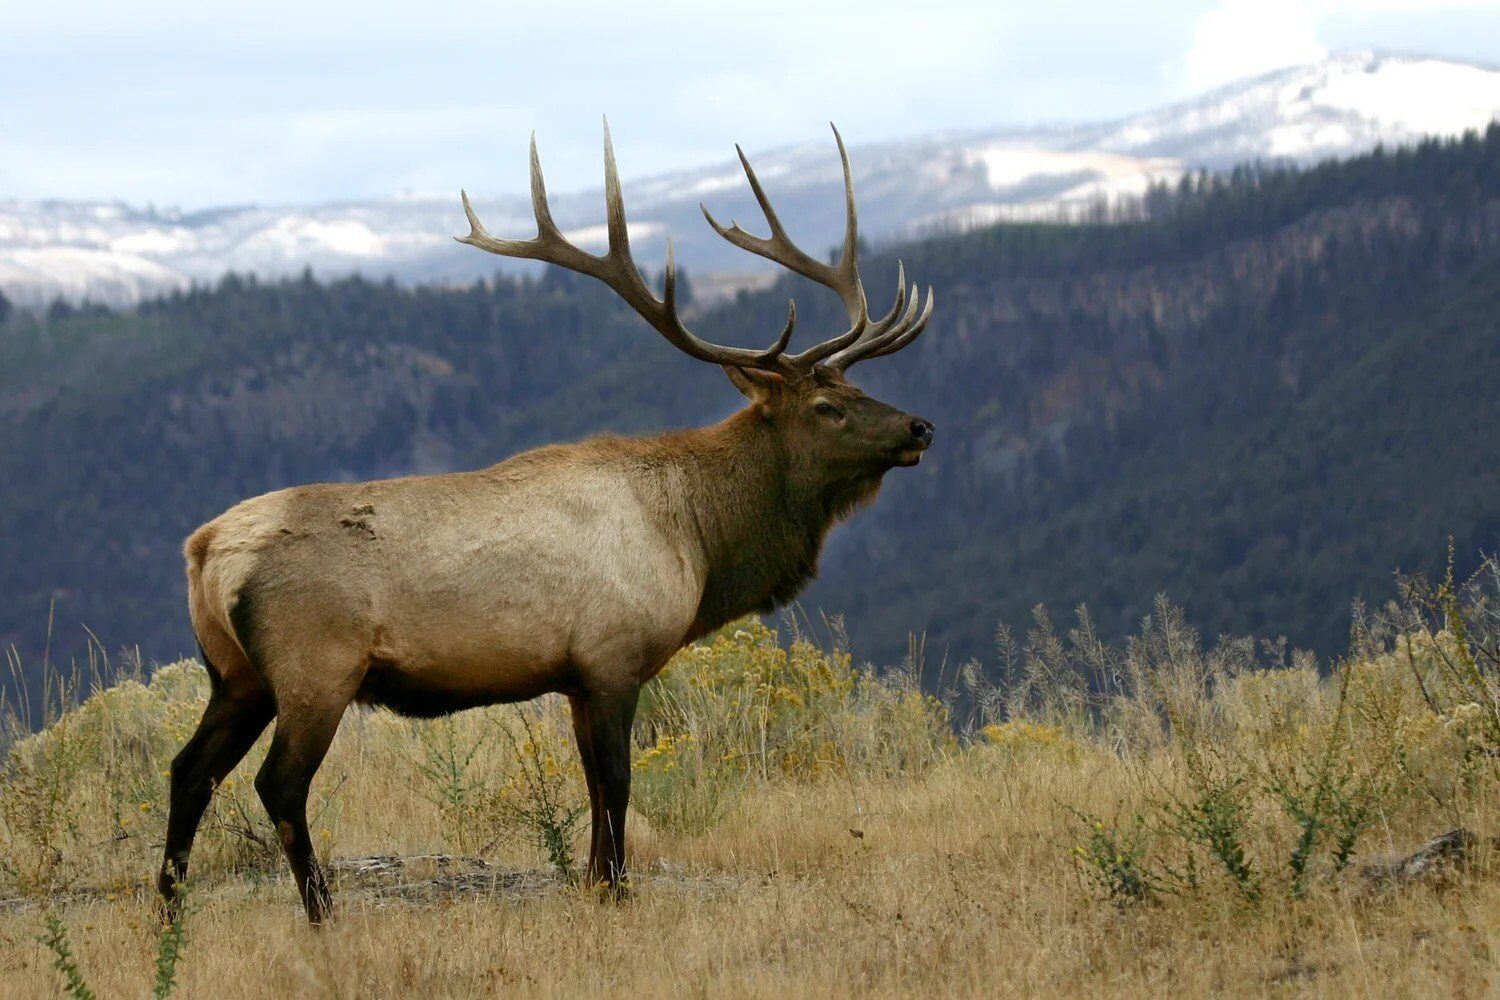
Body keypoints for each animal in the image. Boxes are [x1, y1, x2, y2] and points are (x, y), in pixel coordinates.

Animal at [157, 121, 935, 924]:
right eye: (827, 407)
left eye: (856, 388)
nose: (919, 427)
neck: (697, 540)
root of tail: (205, 551)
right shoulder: (613, 655)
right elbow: (617, 782)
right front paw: (617, 890)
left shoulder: (574, 677)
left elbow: (592, 784)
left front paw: (594, 883)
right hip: (316, 665)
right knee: (278, 783)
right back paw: (321, 913)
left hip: (235, 674)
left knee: (188, 770)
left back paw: (170, 913)